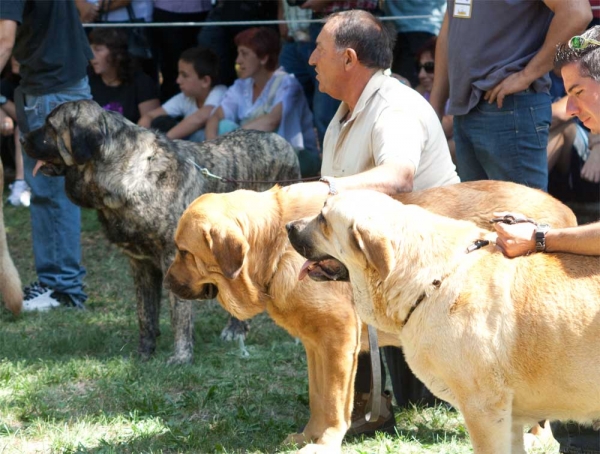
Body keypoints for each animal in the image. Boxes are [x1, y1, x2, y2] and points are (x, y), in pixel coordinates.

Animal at [21, 98, 302, 362]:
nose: (22, 138)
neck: (127, 173)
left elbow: (179, 313)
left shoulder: (173, 259)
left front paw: (181, 357)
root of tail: (284, 142)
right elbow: (145, 314)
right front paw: (144, 354)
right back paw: (237, 329)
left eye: (49, 125)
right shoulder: (140, 264)